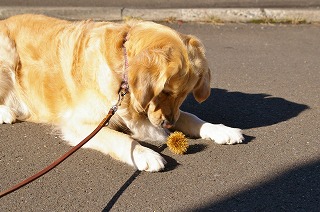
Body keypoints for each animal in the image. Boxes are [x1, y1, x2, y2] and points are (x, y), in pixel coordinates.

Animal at [0, 14, 242, 171]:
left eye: (185, 94)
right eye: (165, 91)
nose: (168, 124)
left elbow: (191, 117)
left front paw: (221, 130)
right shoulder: (79, 124)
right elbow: (120, 138)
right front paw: (146, 154)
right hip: (7, 52)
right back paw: (7, 112)